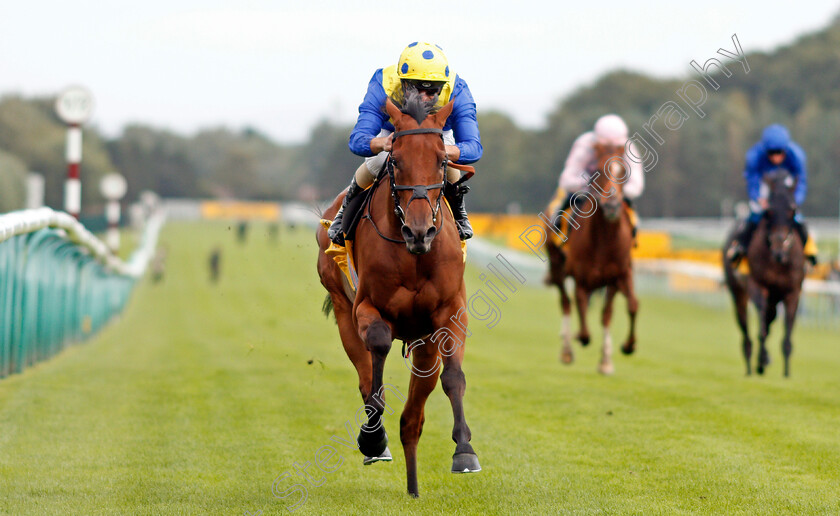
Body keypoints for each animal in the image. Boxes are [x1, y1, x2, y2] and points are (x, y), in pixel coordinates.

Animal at [316, 92, 480, 496]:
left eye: (441, 161)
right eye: (396, 161)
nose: (419, 232)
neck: (414, 255)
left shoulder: (450, 312)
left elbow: (453, 378)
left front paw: (464, 452)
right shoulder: (367, 307)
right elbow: (377, 352)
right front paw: (373, 438)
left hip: (423, 343)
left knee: (413, 417)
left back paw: (414, 485)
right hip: (341, 304)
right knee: (365, 376)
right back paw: (380, 444)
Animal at [544, 142, 636, 374]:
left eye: (625, 172)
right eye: (600, 171)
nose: (612, 206)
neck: (605, 239)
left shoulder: (620, 275)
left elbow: (626, 307)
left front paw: (620, 351)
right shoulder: (581, 277)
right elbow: (582, 313)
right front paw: (580, 338)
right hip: (557, 266)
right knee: (566, 302)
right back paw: (567, 350)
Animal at [720, 171, 808, 376]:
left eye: (792, 211)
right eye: (769, 212)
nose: (779, 251)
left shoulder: (793, 291)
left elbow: (787, 333)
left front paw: (786, 372)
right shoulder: (758, 286)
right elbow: (761, 328)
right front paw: (760, 362)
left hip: (774, 297)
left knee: (769, 319)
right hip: (738, 292)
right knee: (746, 328)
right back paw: (750, 365)